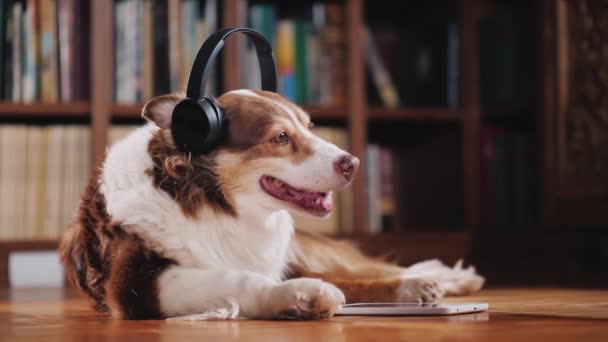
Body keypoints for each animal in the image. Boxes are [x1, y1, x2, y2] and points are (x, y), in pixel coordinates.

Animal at [58, 90, 484, 320]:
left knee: (369, 269)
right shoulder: (136, 281)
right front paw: (300, 296)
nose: (353, 163)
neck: (212, 202)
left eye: (310, 127)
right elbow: (236, 278)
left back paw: (440, 278)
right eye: (280, 137)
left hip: (309, 252)